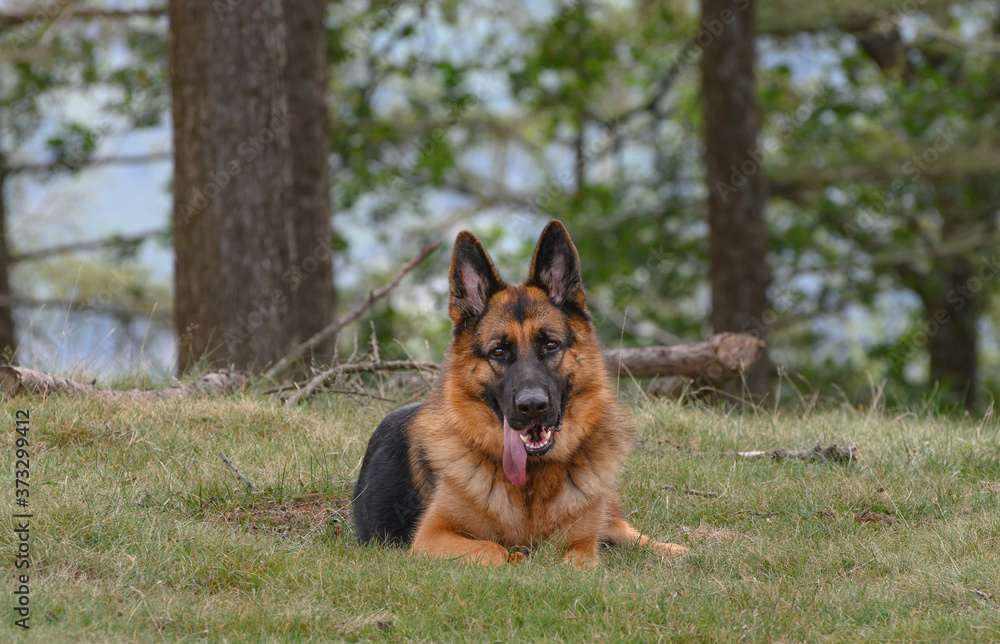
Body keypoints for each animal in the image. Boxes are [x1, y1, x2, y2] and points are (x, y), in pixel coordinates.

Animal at [352, 221, 688, 568]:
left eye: (550, 345)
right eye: (499, 352)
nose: (533, 406)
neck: (533, 481)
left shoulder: (582, 548)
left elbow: (576, 557)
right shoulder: (432, 536)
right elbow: (495, 549)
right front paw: (518, 558)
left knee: (627, 531)